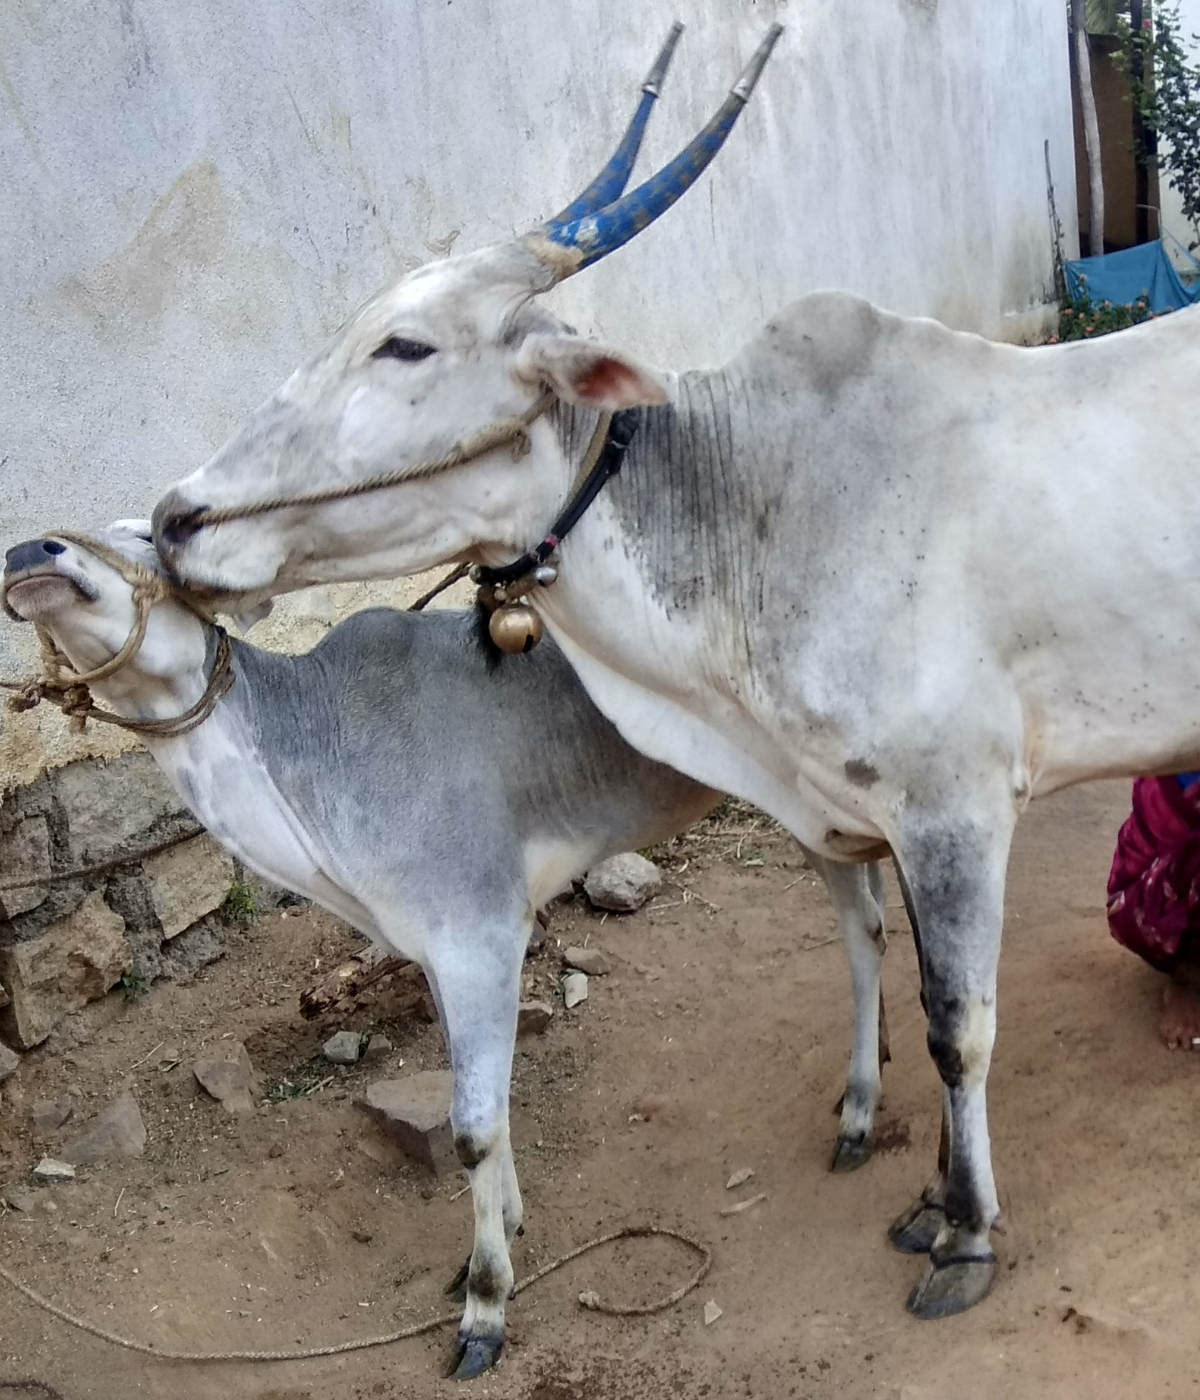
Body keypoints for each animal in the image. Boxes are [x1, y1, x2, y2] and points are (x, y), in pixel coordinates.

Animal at [151, 30, 1198, 1321]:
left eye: (408, 345)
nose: (177, 518)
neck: (752, 504)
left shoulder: (956, 805)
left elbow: (958, 1025)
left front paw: (966, 1235)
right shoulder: (878, 814)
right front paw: (927, 1199)